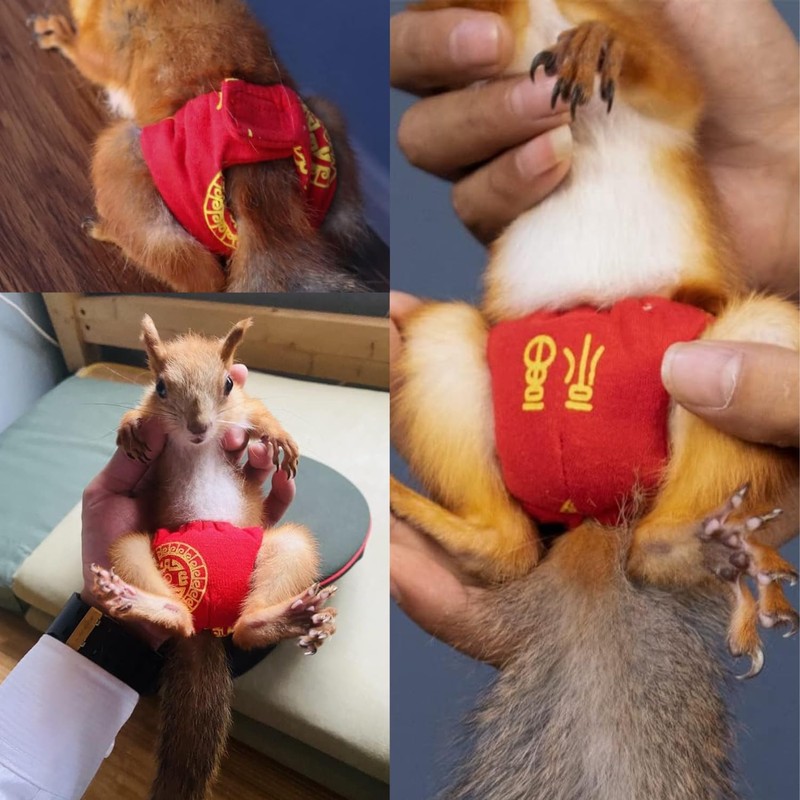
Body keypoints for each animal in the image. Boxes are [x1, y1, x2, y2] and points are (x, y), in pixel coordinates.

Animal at [30, 0, 368, 293]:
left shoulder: (113, 32)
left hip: (120, 155)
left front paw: (61, 34)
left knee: (199, 275)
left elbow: (92, 59)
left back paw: (107, 231)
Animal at [90, 315, 337, 800]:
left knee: (246, 627)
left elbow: (259, 413)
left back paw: (283, 619)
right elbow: (140, 414)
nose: (200, 426)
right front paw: (129, 426)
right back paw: (145, 603)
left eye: (227, 382)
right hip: (133, 548)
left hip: (287, 550)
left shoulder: (242, 408)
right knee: (177, 614)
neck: (198, 445)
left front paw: (280, 438)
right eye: (161, 386)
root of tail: (207, 625)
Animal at [391, 1, 799, 797]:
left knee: (643, 551)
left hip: (730, 353)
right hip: (449, 357)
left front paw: (597, 43)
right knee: (507, 545)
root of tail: (598, 518)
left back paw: (707, 549)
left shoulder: (670, 65)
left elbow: (670, 74)